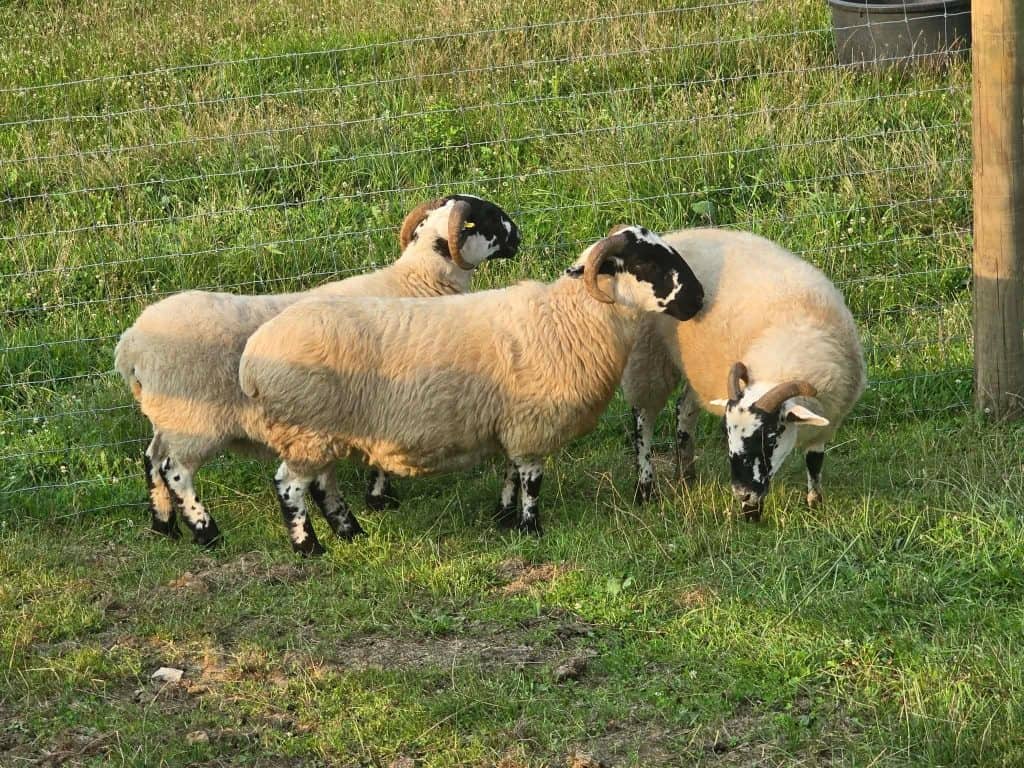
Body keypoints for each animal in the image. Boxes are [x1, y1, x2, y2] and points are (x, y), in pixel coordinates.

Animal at [114, 195, 521, 547]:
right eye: (488, 217)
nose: (518, 236)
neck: (417, 280)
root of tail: (131, 344)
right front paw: (380, 497)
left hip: (167, 418)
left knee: (152, 459)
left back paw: (164, 526)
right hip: (194, 420)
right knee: (176, 471)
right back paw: (207, 533)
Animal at [237, 226, 705, 554]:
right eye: (648, 264)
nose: (699, 299)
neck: (569, 317)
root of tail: (251, 358)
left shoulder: (512, 421)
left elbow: (510, 472)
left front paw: (504, 516)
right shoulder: (533, 423)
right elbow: (532, 480)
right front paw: (531, 527)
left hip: (322, 431)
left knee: (321, 485)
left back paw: (350, 531)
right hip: (306, 427)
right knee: (289, 486)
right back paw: (309, 547)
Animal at [619, 227, 866, 521]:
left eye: (769, 437)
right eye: (728, 435)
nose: (741, 493)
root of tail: (675, 236)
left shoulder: (827, 421)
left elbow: (814, 462)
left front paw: (815, 505)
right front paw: (752, 515)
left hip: (700, 371)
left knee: (684, 409)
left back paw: (686, 475)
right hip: (647, 358)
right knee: (643, 421)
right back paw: (646, 489)